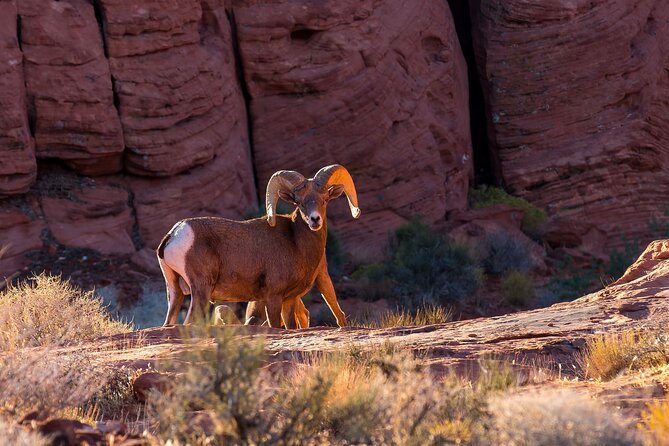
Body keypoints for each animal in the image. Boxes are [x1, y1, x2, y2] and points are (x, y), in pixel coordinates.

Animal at [156, 164, 360, 327]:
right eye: (300, 202)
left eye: (324, 200)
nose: (314, 220)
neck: (296, 242)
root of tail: (174, 234)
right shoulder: (273, 297)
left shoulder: (289, 300)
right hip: (201, 290)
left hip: (175, 291)